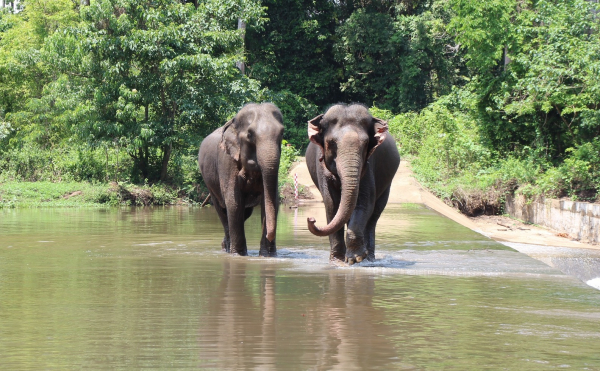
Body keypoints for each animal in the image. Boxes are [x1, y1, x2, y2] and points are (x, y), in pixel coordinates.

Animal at [196, 103, 282, 258]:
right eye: (249, 135)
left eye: (282, 133)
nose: (270, 236)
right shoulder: (226, 160)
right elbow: (234, 202)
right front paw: (239, 255)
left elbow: (270, 201)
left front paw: (268, 256)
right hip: (210, 184)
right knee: (222, 211)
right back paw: (227, 249)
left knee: (244, 213)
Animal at [308, 104, 400, 264]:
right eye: (331, 143)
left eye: (366, 144)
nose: (311, 219)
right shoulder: (322, 167)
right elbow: (331, 204)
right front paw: (337, 260)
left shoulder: (368, 165)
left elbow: (364, 202)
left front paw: (354, 259)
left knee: (374, 216)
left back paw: (369, 258)